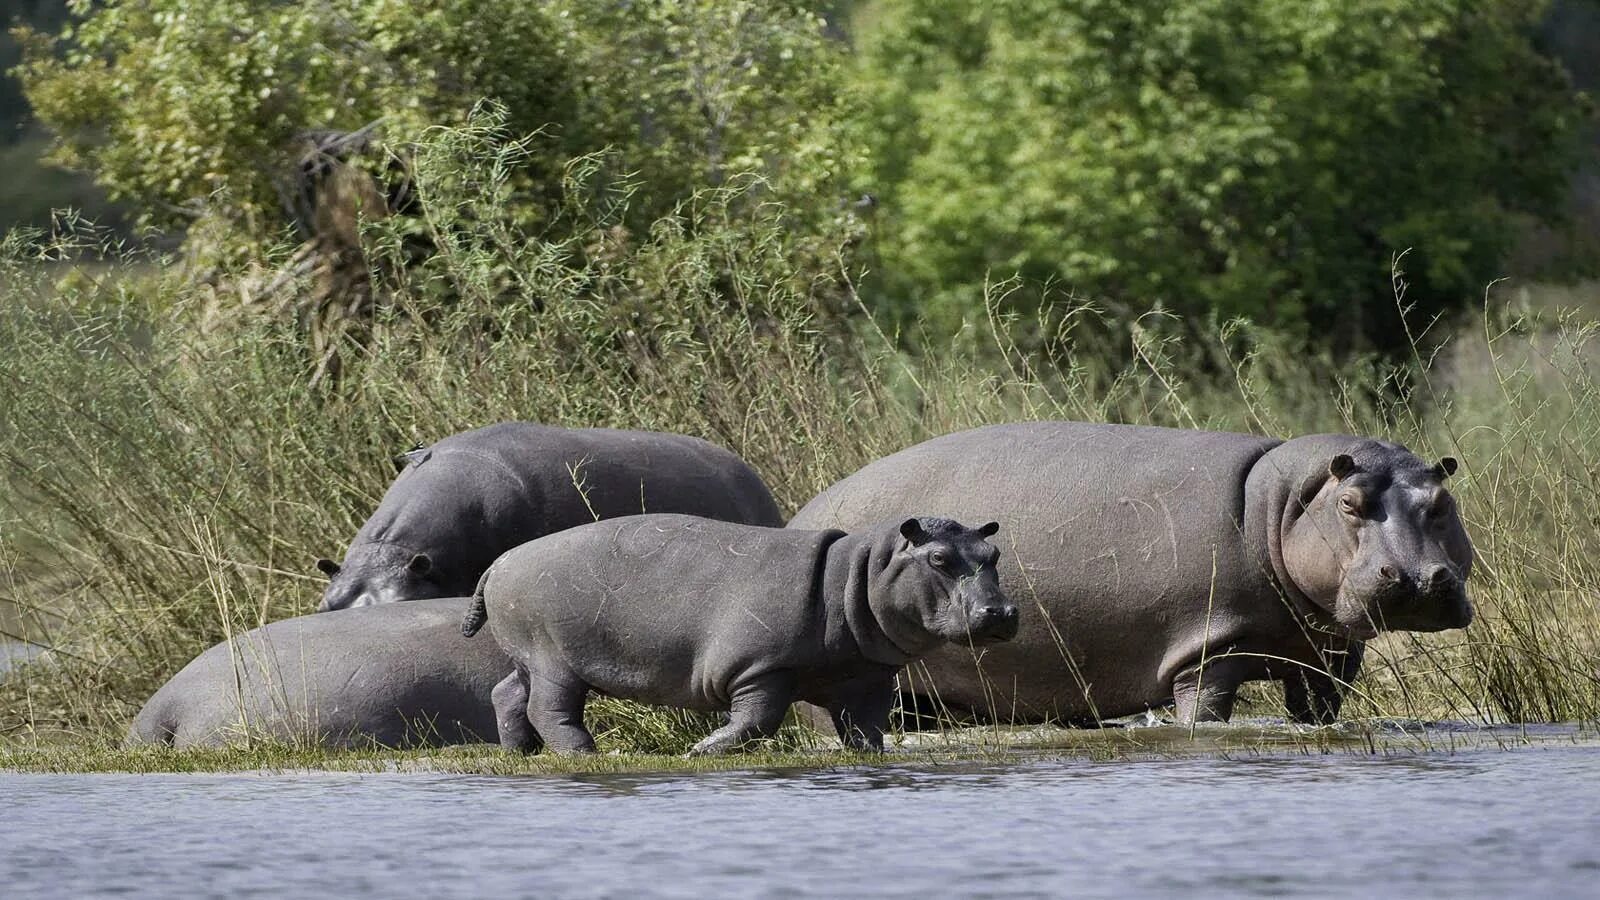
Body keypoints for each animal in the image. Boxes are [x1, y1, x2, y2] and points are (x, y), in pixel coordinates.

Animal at [457, 512, 1017, 749]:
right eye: (939, 558)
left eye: (993, 553)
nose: (1002, 612)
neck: (859, 574)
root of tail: (498, 562)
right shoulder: (760, 669)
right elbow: (757, 721)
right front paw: (701, 749)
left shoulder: (865, 677)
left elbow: (867, 729)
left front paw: (868, 756)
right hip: (552, 658)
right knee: (550, 709)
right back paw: (585, 752)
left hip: (527, 658)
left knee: (507, 695)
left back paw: (521, 753)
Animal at [787, 422, 1472, 723]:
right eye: (1351, 503)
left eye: (1442, 503)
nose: (1419, 579)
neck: (1280, 507)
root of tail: (802, 513)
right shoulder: (1208, 652)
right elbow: (1205, 712)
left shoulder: (1327, 653)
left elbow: (1321, 711)